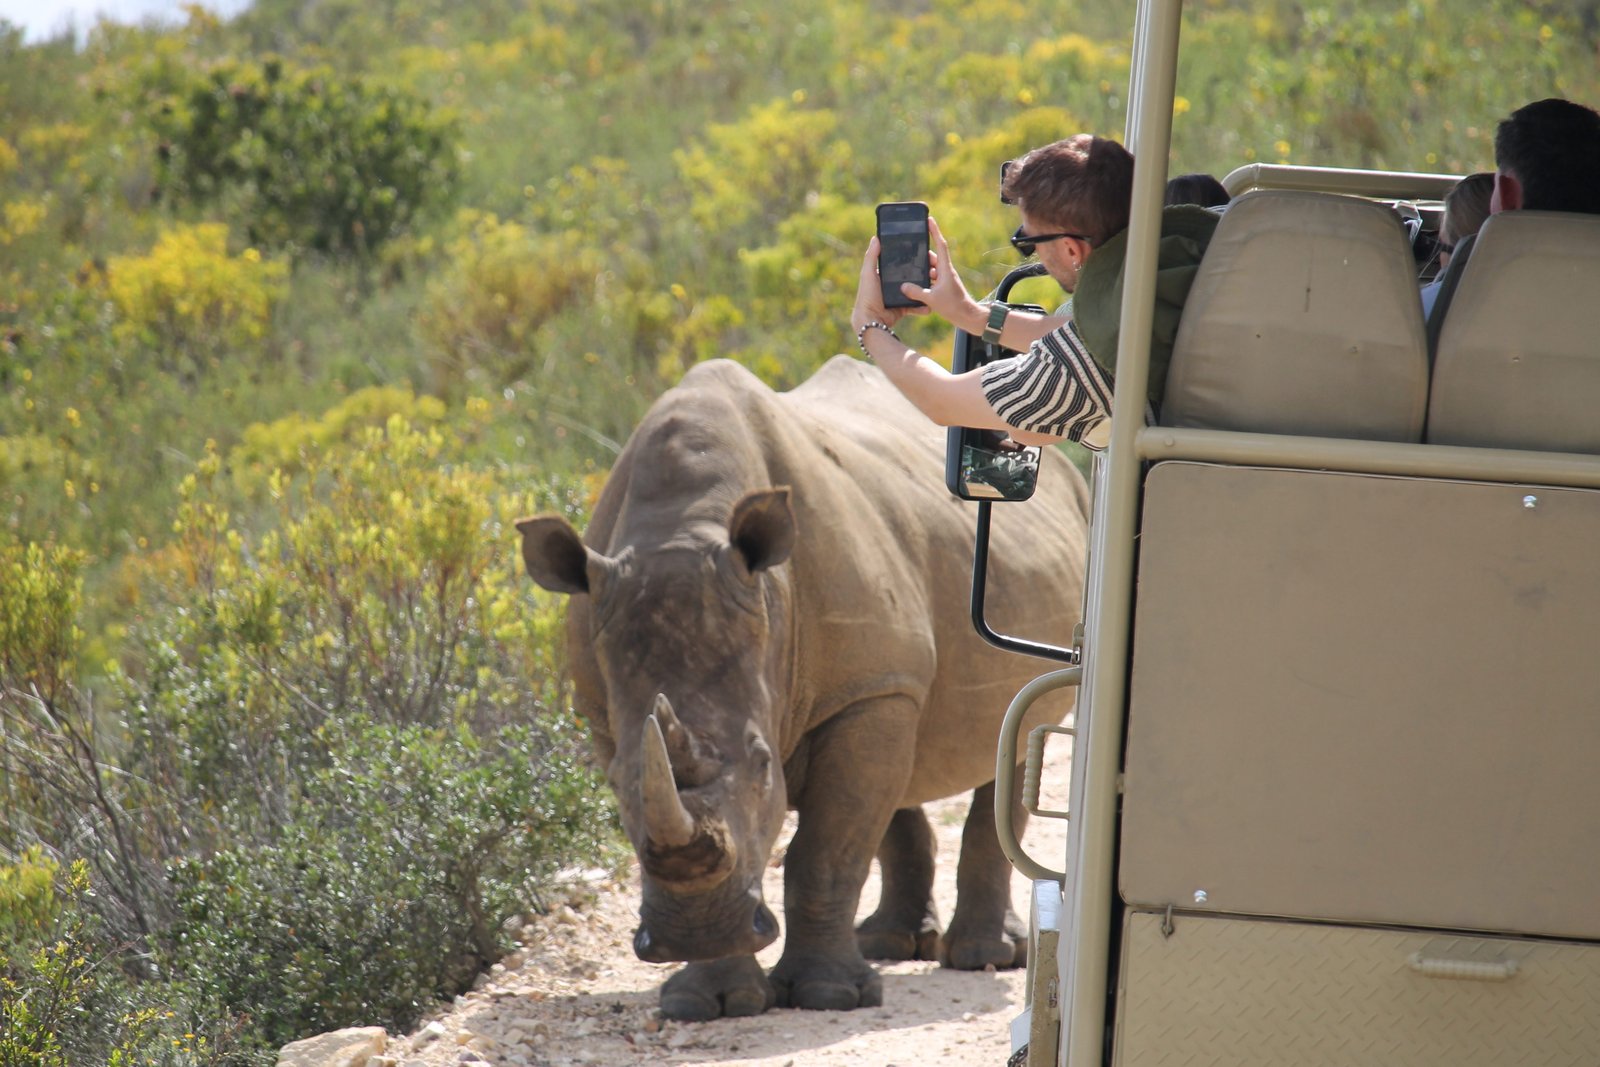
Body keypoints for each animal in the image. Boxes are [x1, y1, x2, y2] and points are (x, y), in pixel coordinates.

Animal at [518, 356, 1087, 1020]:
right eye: (612, 785)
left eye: (764, 764)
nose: (694, 933)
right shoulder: (601, 710)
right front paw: (713, 1003)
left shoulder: (866, 687)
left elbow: (826, 850)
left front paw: (829, 997)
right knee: (905, 761)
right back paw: (889, 944)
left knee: (1005, 740)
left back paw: (985, 957)